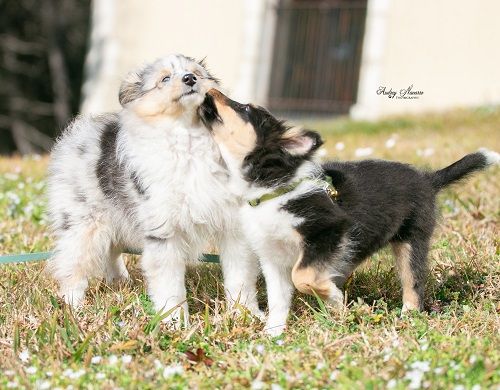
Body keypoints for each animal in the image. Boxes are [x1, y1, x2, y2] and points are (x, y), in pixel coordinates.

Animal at [198, 88, 496, 336]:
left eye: (245, 108)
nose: (208, 88)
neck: (273, 190)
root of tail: (428, 179)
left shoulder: (327, 231)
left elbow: (302, 275)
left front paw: (332, 298)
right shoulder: (272, 257)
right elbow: (278, 299)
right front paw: (273, 334)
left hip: (412, 239)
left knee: (414, 282)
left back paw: (408, 315)